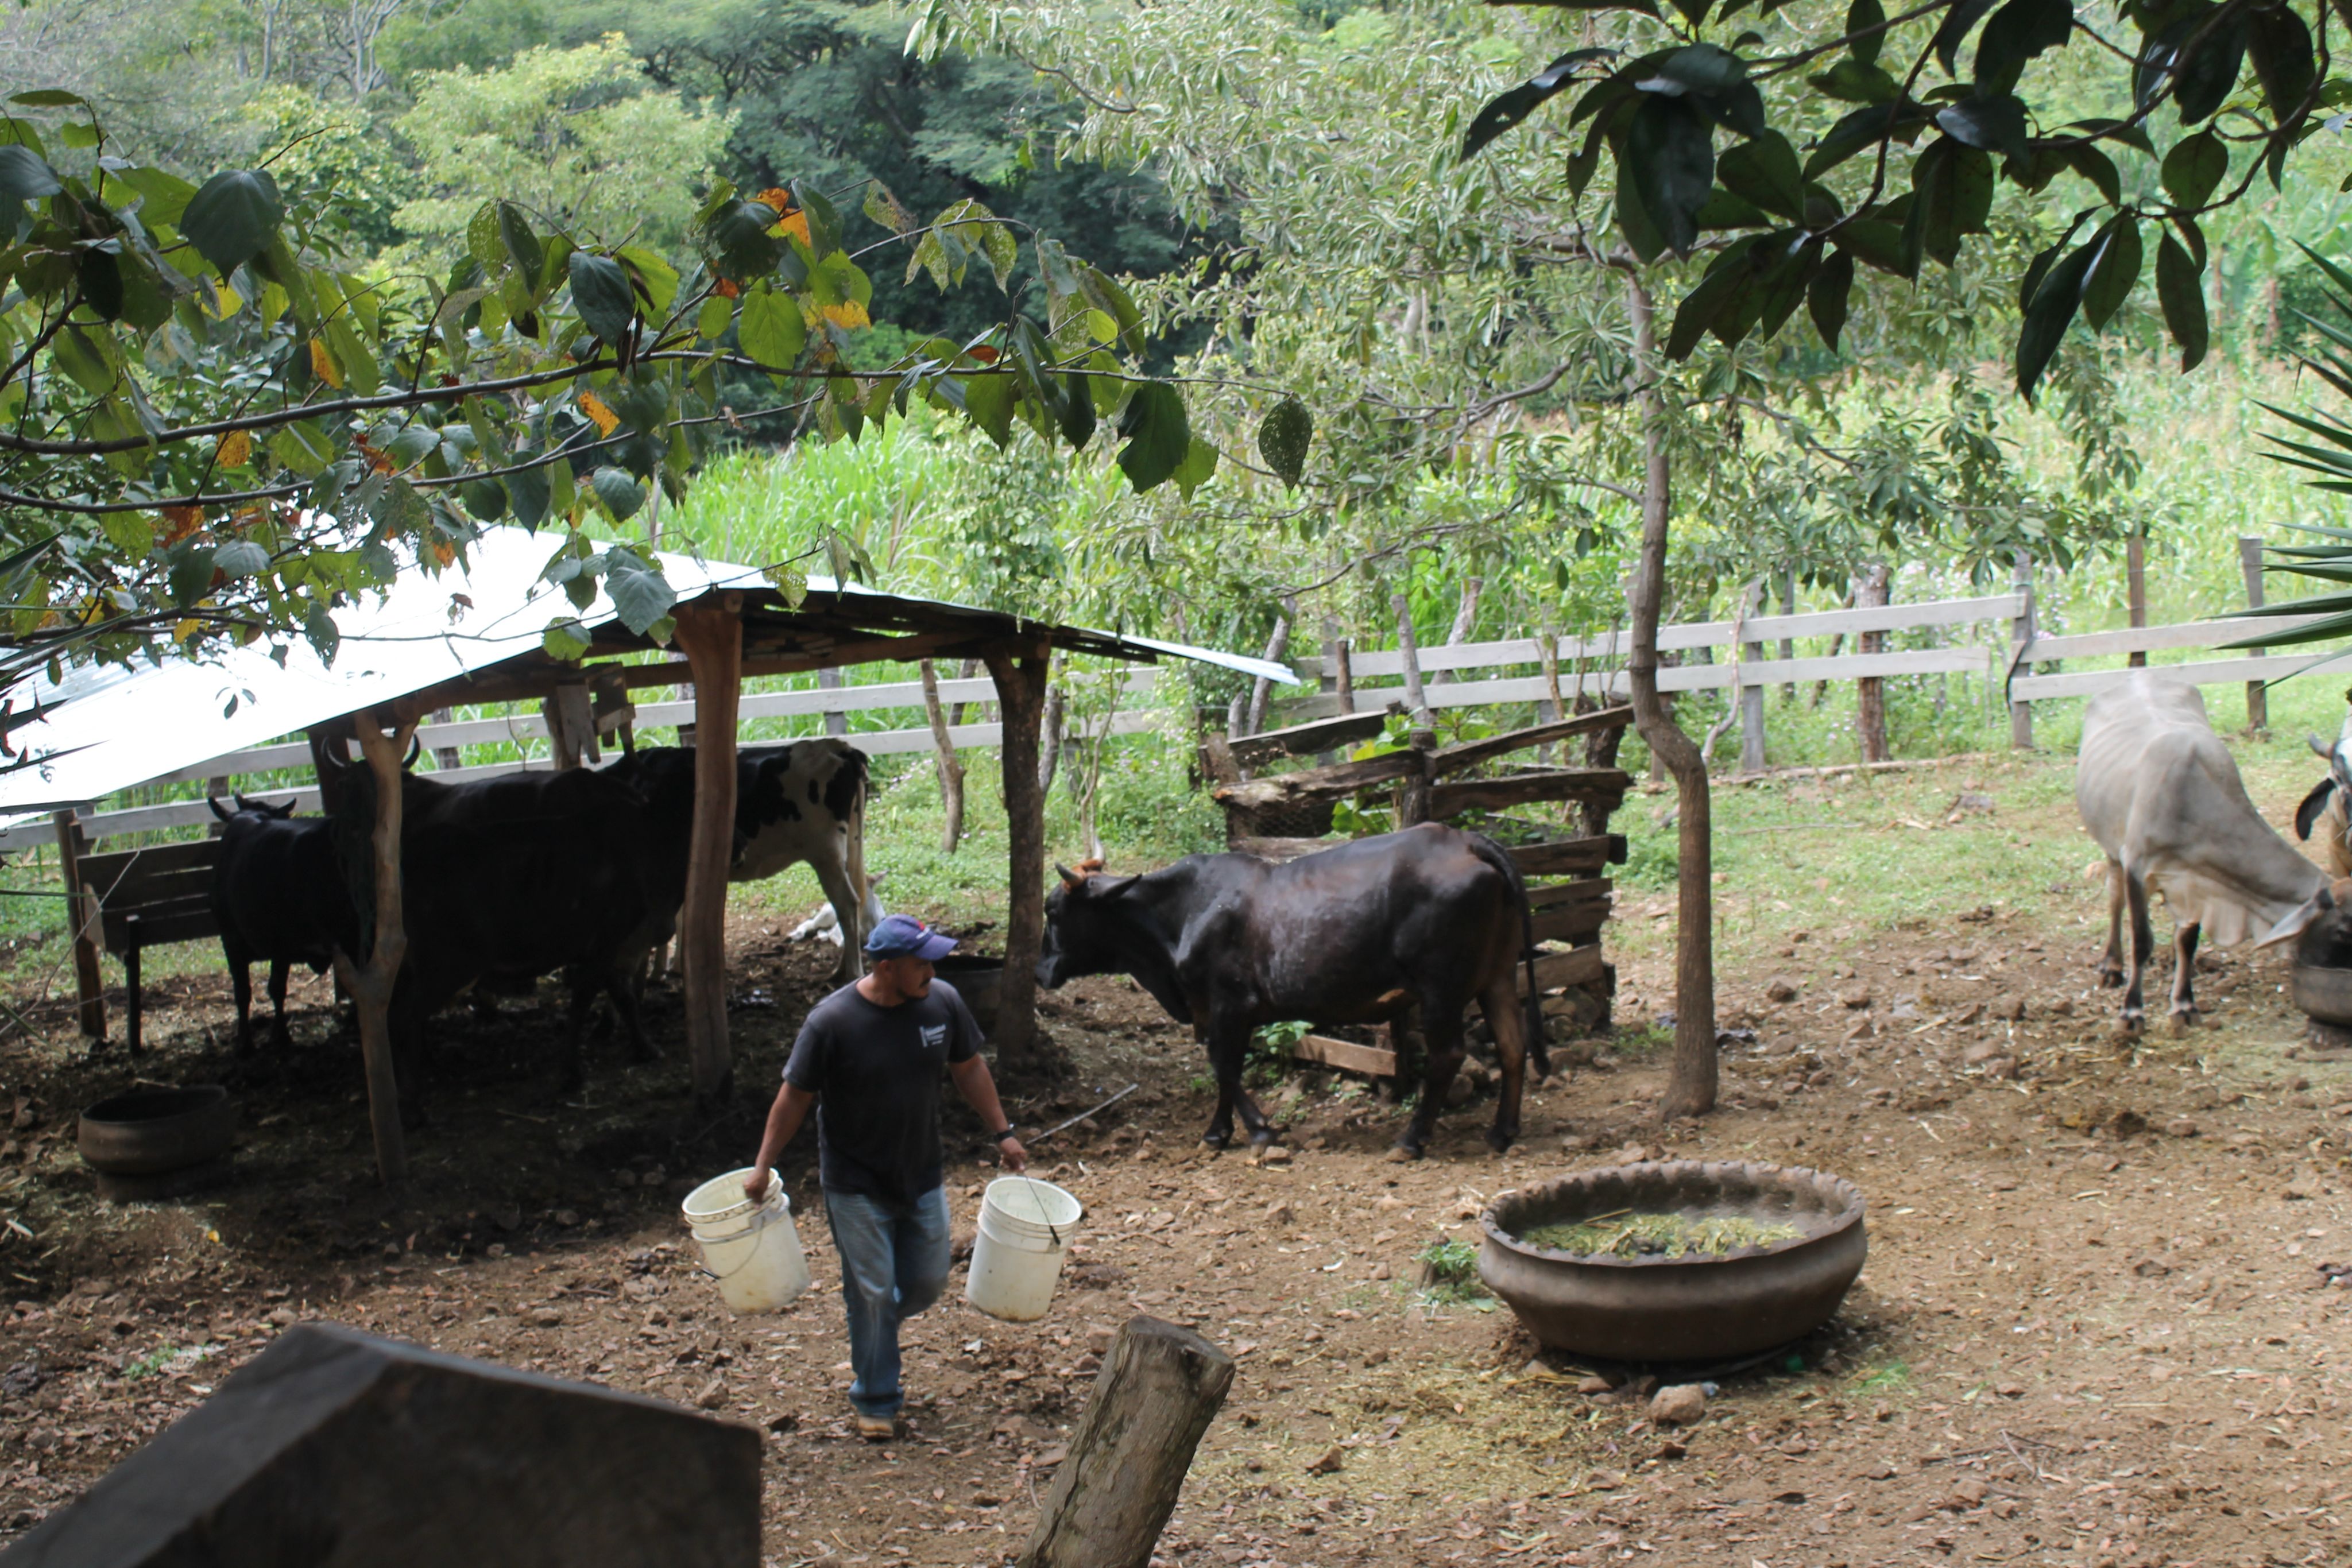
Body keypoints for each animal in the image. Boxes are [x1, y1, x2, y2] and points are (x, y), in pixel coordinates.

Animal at [207, 799, 353, 1053]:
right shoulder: (280, 947)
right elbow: (276, 988)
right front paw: (279, 1035)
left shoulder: (233, 939)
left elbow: (245, 991)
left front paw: (247, 1043)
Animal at [1044, 827, 1552, 1161]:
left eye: (1052, 909)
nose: (1039, 970)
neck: (1180, 912)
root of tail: (1465, 841)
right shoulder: (1218, 1011)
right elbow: (1225, 1067)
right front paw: (1226, 1130)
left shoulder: (1230, 1004)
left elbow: (1223, 1065)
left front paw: (1248, 1130)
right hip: (1497, 977)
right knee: (1513, 1045)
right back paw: (1502, 1131)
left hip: (1440, 989)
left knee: (1449, 1055)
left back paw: (1412, 1139)